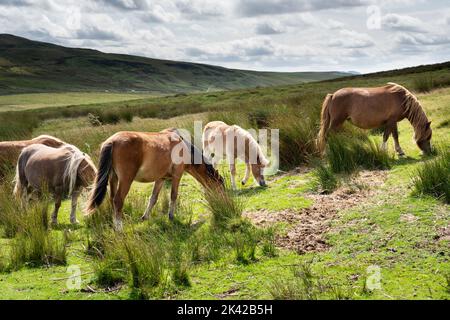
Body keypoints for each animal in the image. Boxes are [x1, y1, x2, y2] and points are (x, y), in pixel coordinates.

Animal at [85, 127, 224, 230]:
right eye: (220, 187)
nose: (224, 202)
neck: (183, 145)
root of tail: (112, 141)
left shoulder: (160, 179)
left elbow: (153, 198)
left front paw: (145, 217)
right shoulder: (177, 176)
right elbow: (173, 195)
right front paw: (171, 216)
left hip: (113, 178)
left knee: (112, 199)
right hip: (126, 180)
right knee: (118, 200)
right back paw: (119, 229)